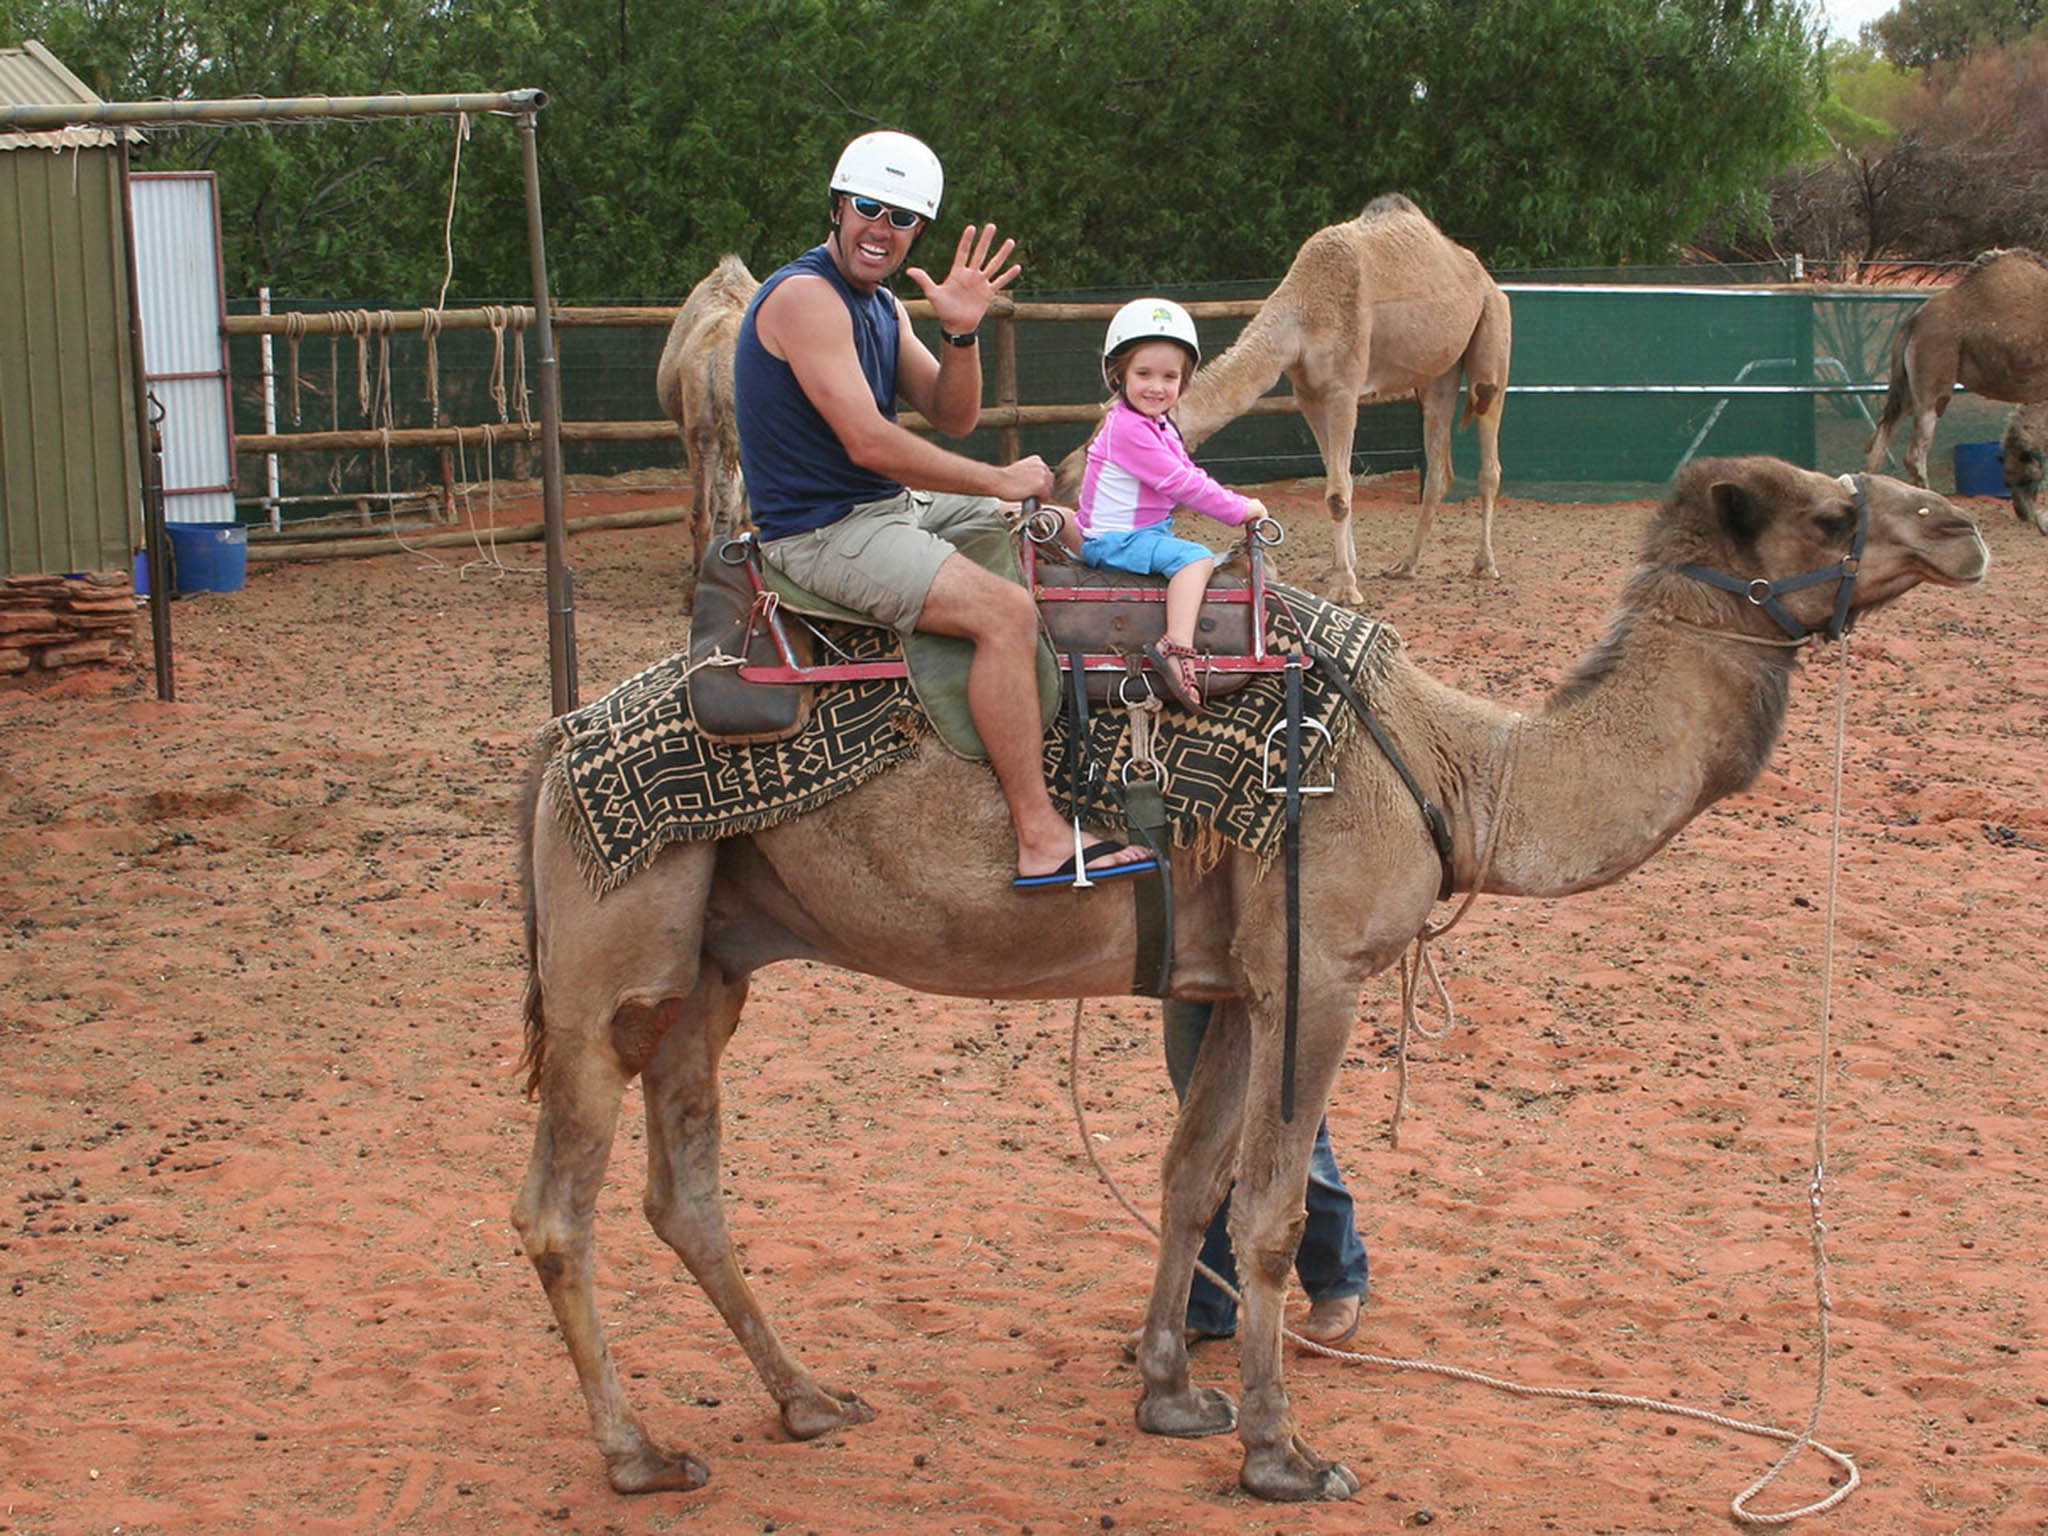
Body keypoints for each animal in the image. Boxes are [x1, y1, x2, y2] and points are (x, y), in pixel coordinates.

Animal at [507, 456, 1982, 1507]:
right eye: (1833, 508)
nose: (1964, 524)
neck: (1455, 770)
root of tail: (557, 746)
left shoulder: (1232, 983)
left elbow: (1186, 1178)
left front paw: (1167, 1394)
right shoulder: (1316, 968)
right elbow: (1267, 1215)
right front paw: (1283, 1459)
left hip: (709, 961)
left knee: (683, 1191)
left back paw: (809, 1400)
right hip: (607, 956)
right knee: (556, 1210)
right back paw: (639, 1454)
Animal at [1056, 201, 1507, 610]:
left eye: (1098, 442)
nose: (1060, 478)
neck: (1301, 313)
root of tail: (1479, 272)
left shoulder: (1343, 388)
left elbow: (1339, 492)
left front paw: (1346, 588)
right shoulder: (1308, 394)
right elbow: (1337, 479)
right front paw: (1341, 568)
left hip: (1492, 332)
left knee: (1488, 442)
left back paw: (1484, 564)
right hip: (1436, 377)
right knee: (1439, 467)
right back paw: (1405, 565)